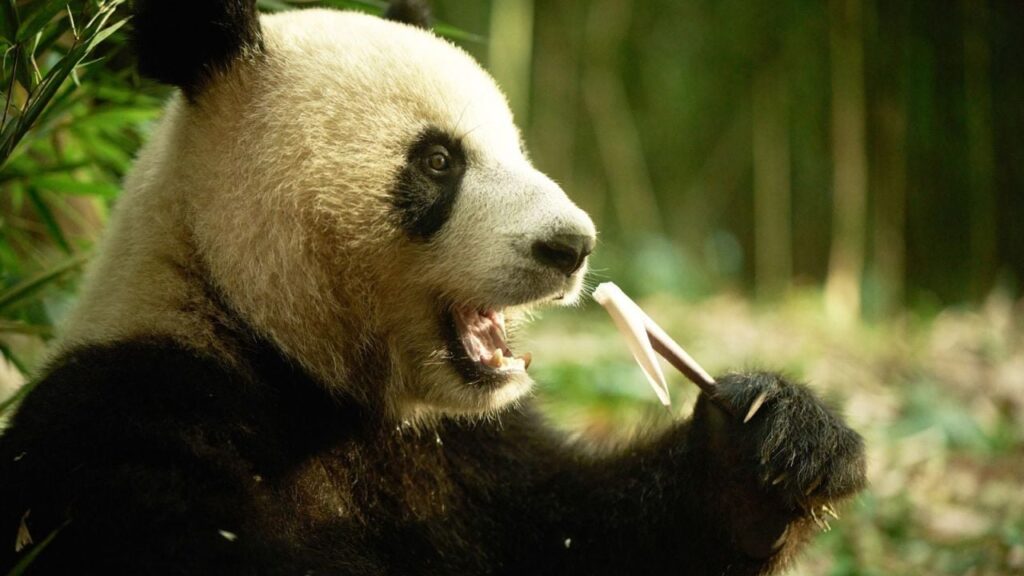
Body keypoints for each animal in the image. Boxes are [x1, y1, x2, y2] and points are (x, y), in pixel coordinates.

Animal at [0, 1, 866, 574]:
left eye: (514, 145)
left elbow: (589, 533)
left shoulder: (473, 453)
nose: (572, 247)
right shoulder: (134, 419)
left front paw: (776, 440)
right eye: (439, 161)